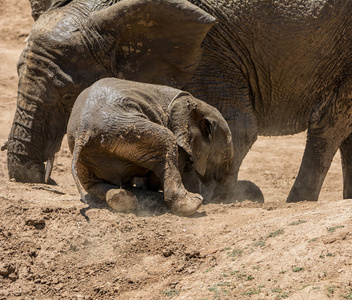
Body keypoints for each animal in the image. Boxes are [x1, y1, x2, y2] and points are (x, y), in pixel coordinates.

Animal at [5, 0, 352, 203]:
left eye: (67, 96)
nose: (40, 177)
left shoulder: (212, 50)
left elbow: (235, 127)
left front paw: (214, 197)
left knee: (329, 123)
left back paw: (298, 201)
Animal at [67, 78, 235, 217]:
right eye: (225, 156)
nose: (221, 200)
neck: (197, 103)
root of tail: (83, 129)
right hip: (127, 130)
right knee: (166, 140)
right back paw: (193, 203)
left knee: (93, 184)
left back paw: (123, 197)